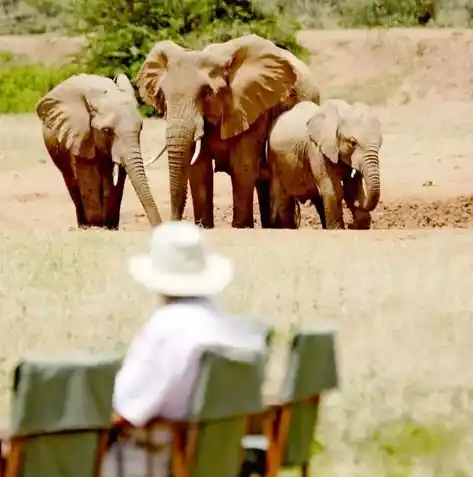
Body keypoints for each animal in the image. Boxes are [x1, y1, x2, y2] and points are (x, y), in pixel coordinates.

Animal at [36, 73, 163, 230]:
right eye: (106, 131)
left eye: (140, 128)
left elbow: (112, 179)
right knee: (71, 182)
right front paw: (95, 224)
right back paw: (84, 225)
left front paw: (108, 225)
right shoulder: (80, 136)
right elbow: (90, 176)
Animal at [136, 33, 320, 229]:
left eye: (206, 92)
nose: (172, 222)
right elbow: (199, 168)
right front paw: (204, 226)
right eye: (163, 95)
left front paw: (241, 227)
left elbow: (242, 166)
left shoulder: (252, 107)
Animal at [268, 98, 382, 229]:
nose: (350, 225)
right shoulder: (316, 150)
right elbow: (334, 190)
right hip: (274, 160)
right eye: (353, 142)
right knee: (283, 200)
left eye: (380, 143)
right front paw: (340, 229)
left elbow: (350, 189)